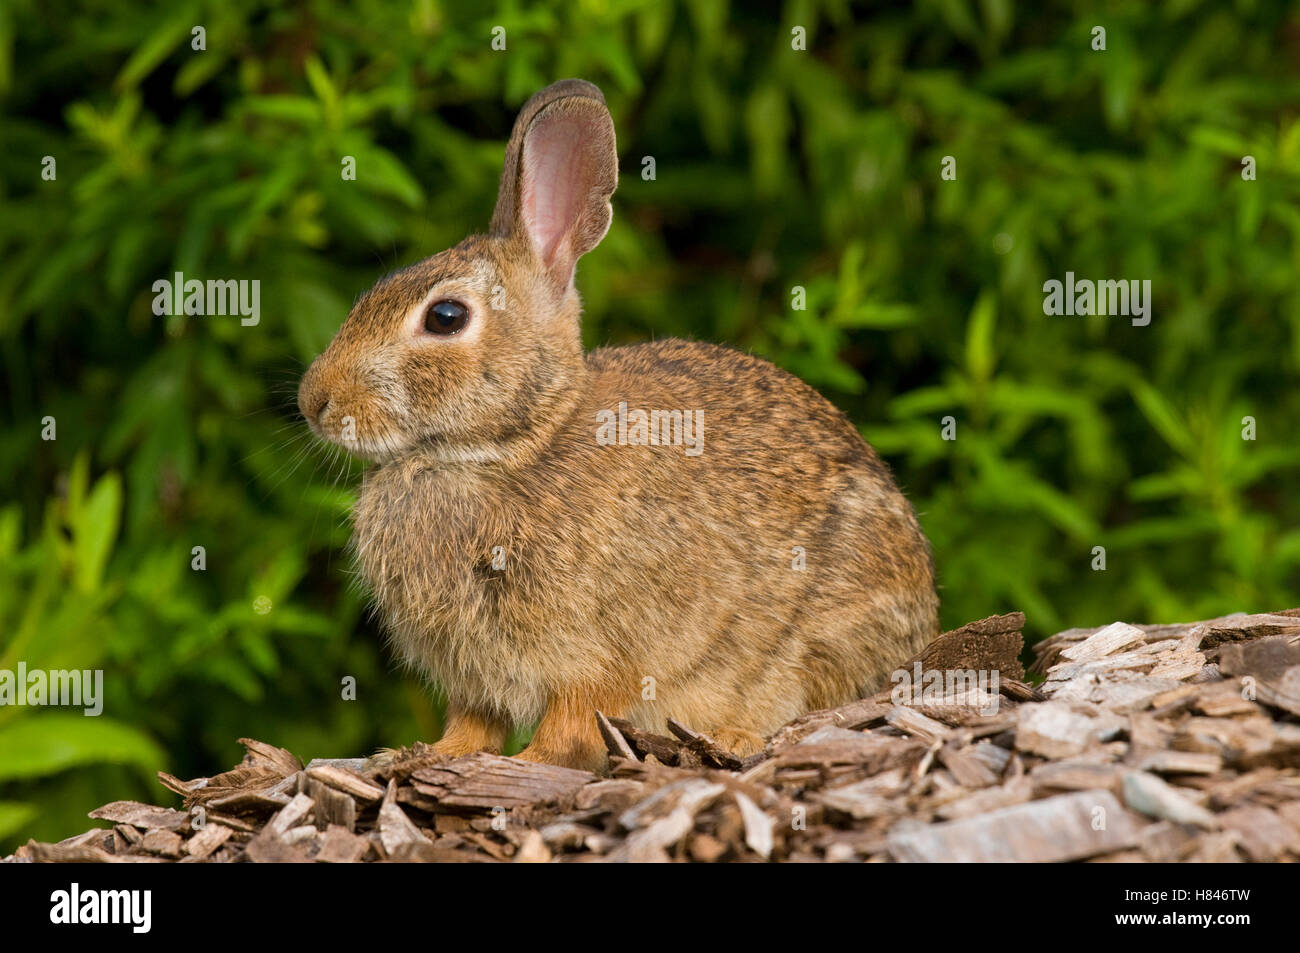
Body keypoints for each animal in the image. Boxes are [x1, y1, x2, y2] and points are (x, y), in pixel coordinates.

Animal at [298, 79, 939, 770]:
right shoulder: (476, 677)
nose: (314, 401)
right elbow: (473, 725)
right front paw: (426, 756)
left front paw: (526, 767)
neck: (512, 446)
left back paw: (735, 738)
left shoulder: (598, 656)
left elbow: (572, 725)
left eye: (445, 317)